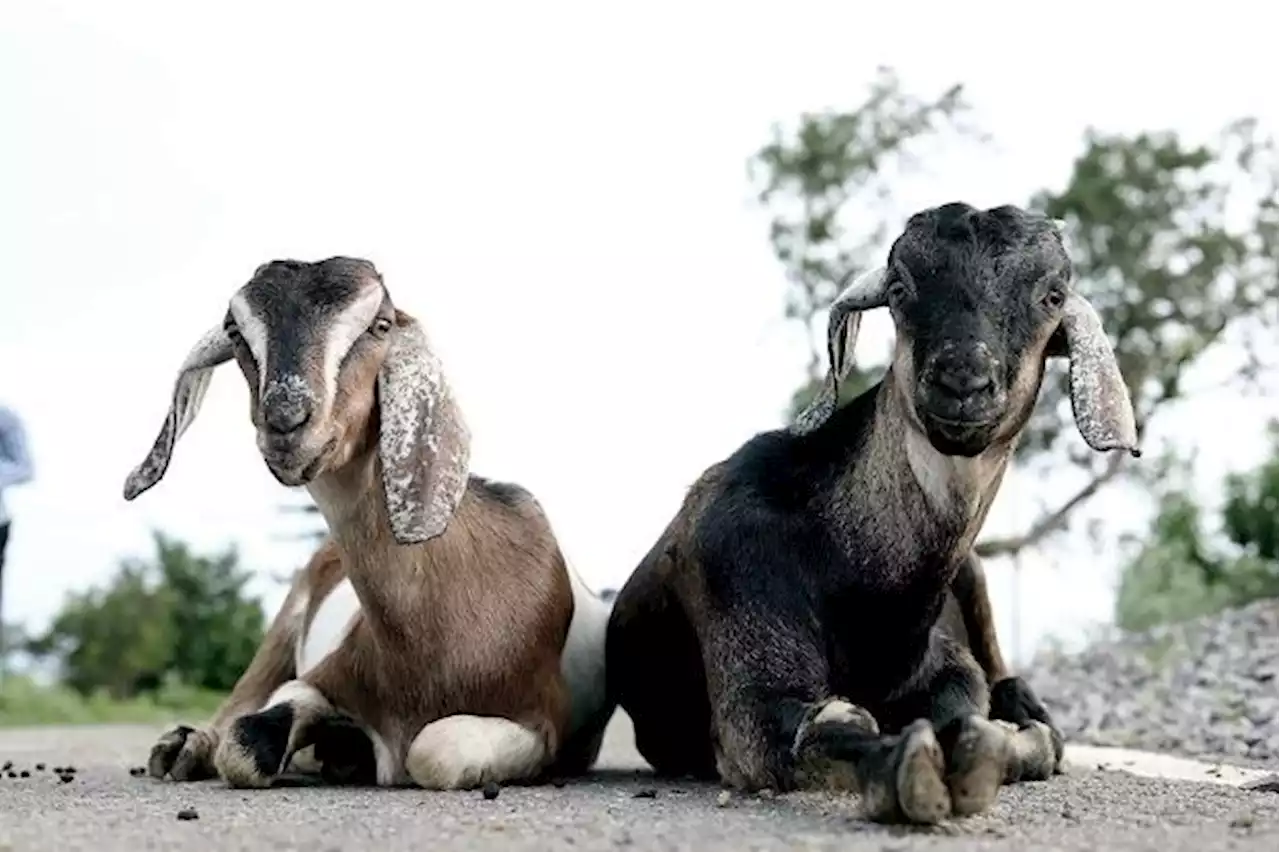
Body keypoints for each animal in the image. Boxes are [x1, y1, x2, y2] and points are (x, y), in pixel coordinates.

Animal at [124, 255, 614, 788]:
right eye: (235, 330)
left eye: (380, 325)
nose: (286, 421)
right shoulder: (325, 675)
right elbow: (245, 741)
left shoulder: (544, 721)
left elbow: (435, 750)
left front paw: (347, 746)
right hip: (283, 626)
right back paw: (186, 747)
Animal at [609, 202, 1141, 818]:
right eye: (900, 287)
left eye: (1052, 295)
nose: (963, 381)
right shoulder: (742, 610)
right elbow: (814, 729)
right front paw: (911, 770)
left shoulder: (943, 665)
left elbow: (981, 709)